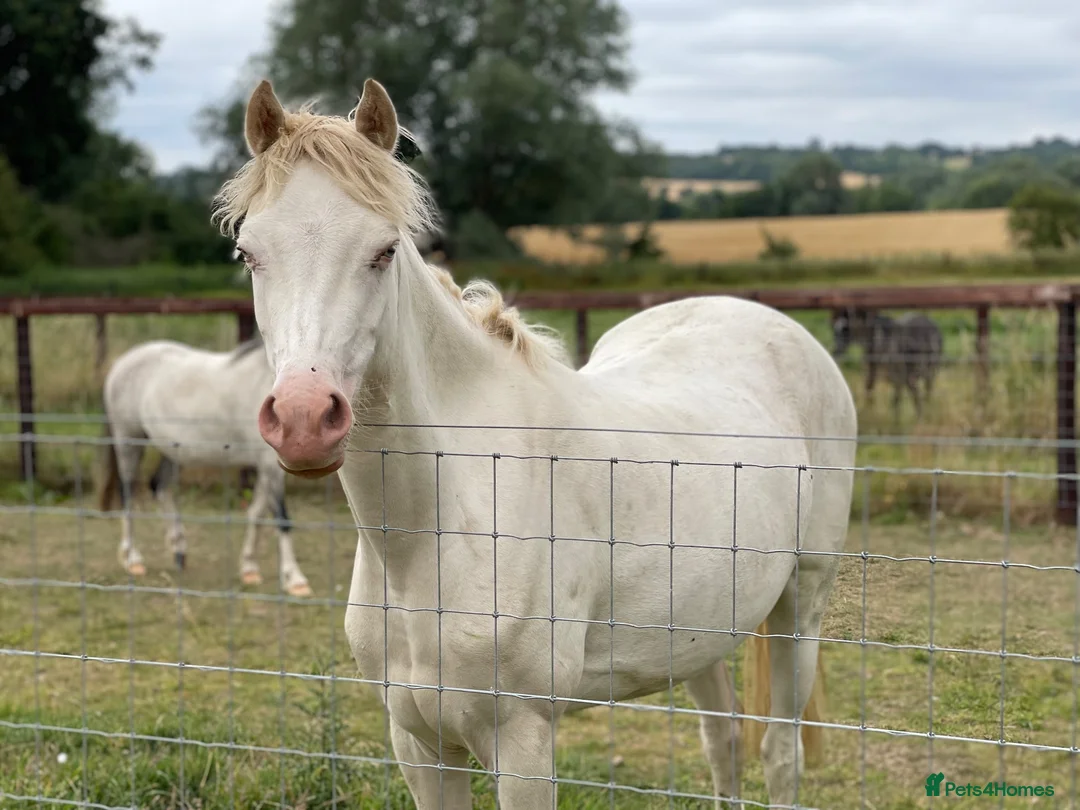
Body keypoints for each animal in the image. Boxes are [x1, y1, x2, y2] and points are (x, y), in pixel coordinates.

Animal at [96, 335, 313, 597]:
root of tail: (121, 364)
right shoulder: (269, 466)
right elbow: (282, 517)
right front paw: (295, 580)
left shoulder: (266, 467)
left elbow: (257, 513)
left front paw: (249, 568)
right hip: (129, 442)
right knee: (127, 493)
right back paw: (133, 560)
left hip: (173, 451)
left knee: (159, 486)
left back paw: (179, 550)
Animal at [214, 78, 857, 808]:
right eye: (248, 253)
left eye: (382, 251)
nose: (302, 418)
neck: (437, 527)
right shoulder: (420, 745)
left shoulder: (522, 742)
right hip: (702, 629)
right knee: (721, 739)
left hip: (801, 603)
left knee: (779, 752)